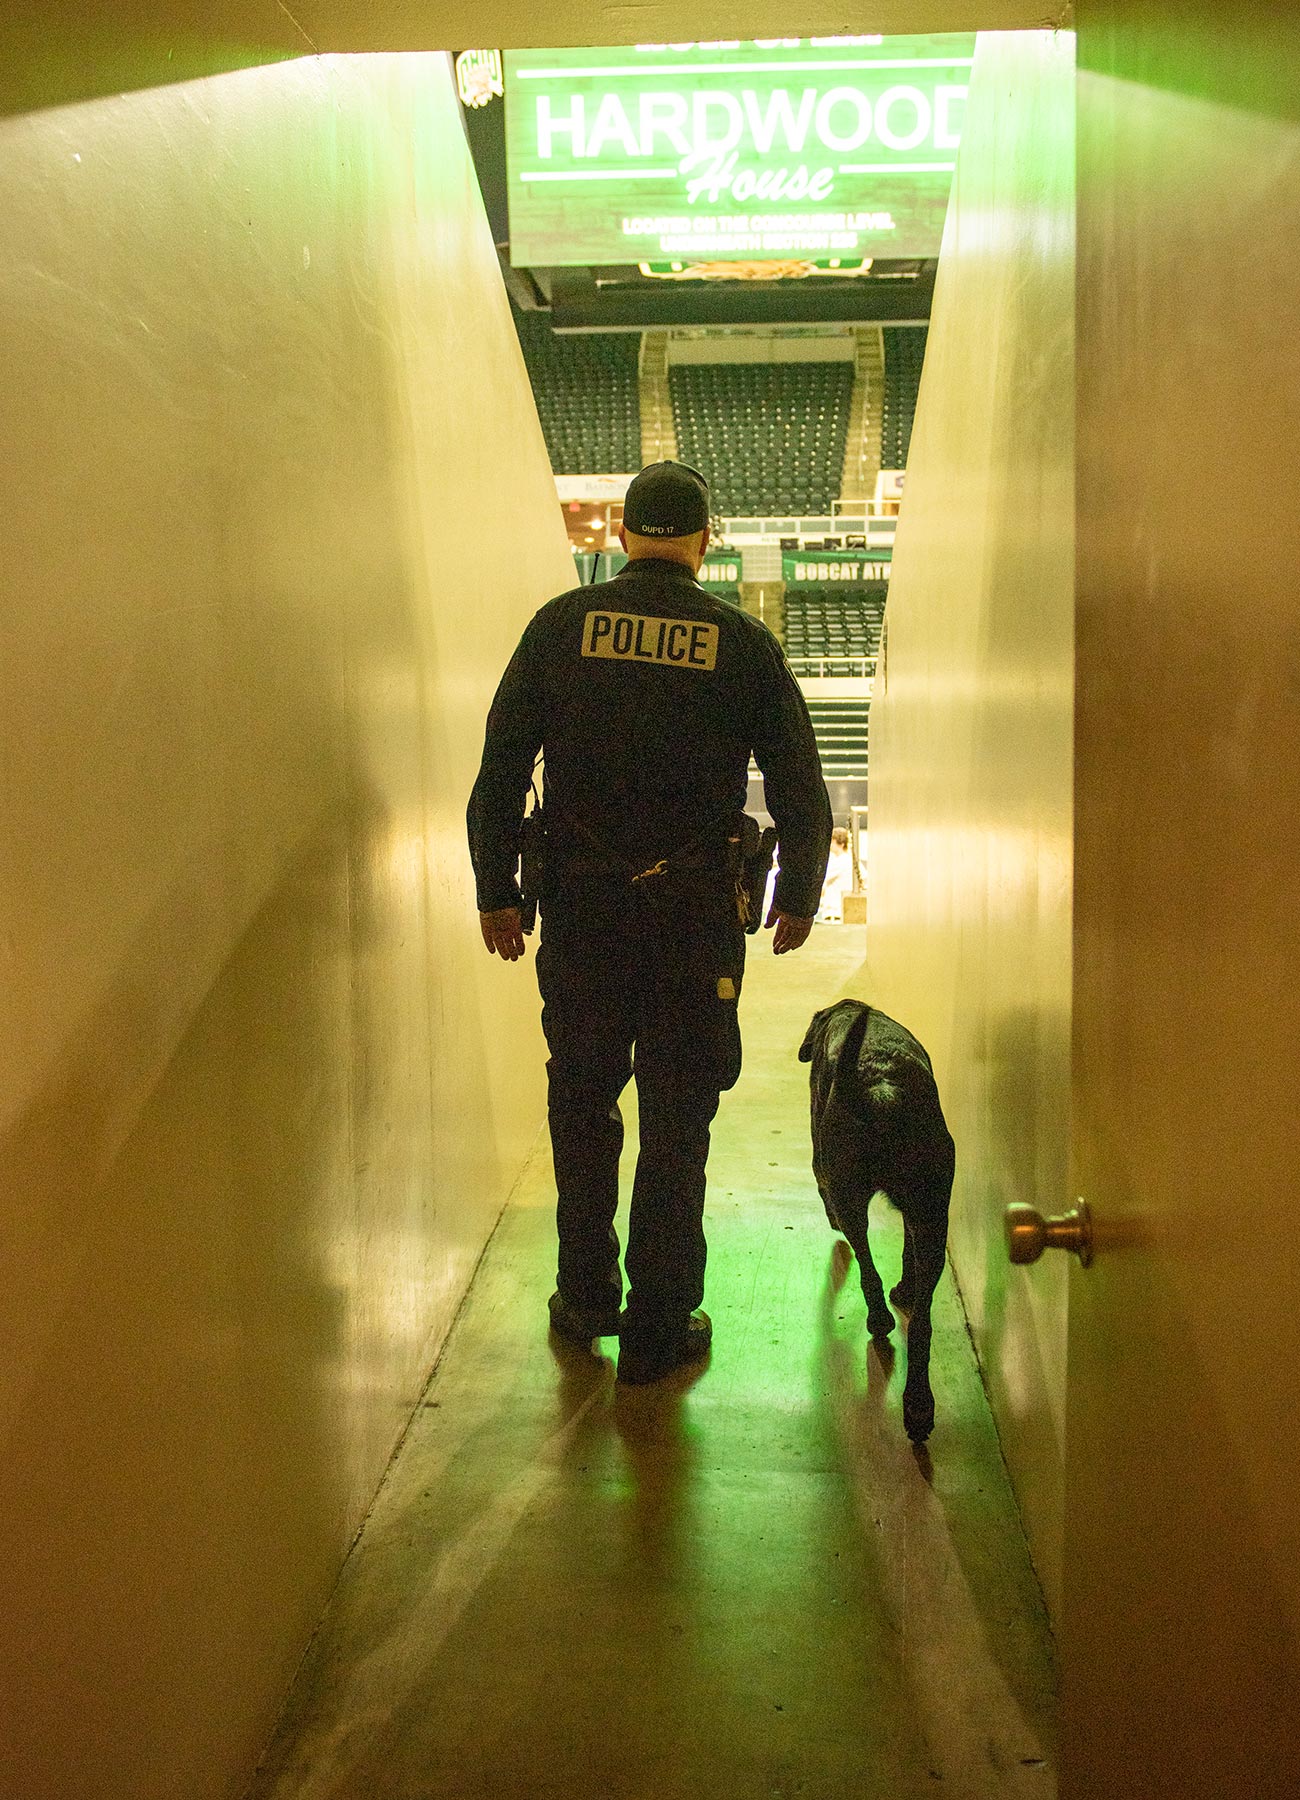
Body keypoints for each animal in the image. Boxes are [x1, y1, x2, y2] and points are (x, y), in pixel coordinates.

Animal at [788, 1000, 950, 1447]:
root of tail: (882, 1090)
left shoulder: (820, 1162)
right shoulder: (918, 1213)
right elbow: (908, 1251)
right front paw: (907, 1288)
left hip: (848, 1194)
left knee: (864, 1262)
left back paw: (879, 1318)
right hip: (934, 1216)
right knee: (922, 1324)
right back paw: (918, 1407)